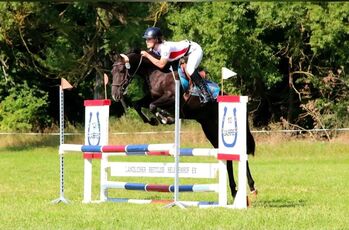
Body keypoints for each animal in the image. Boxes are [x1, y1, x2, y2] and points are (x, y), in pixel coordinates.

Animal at [110, 50, 256, 199]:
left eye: (121, 70)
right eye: (112, 72)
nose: (115, 95)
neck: (157, 72)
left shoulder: (172, 98)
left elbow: (152, 106)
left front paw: (166, 118)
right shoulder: (151, 97)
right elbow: (138, 104)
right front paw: (153, 121)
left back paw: (251, 187)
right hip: (210, 130)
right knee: (227, 157)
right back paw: (234, 191)